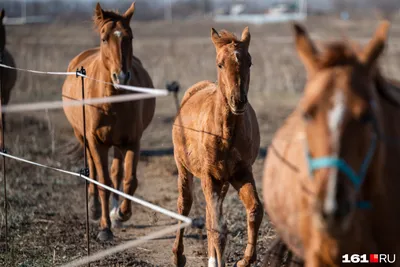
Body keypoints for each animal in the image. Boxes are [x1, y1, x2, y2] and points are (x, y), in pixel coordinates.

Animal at [61, 2, 155, 242]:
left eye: (129, 37)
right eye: (104, 38)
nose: (121, 77)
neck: (111, 99)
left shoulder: (131, 141)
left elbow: (129, 180)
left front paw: (121, 214)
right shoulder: (96, 142)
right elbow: (102, 180)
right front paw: (105, 227)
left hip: (118, 143)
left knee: (116, 173)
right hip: (83, 137)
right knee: (93, 169)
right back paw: (95, 208)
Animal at [173, 27, 264, 267]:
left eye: (249, 62)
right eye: (220, 64)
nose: (238, 101)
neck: (225, 133)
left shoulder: (241, 173)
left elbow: (255, 210)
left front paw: (245, 259)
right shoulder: (209, 176)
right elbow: (217, 226)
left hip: (221, 182)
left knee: (209, 213)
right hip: (185, 169)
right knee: (184, 204)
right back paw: (178, 256)